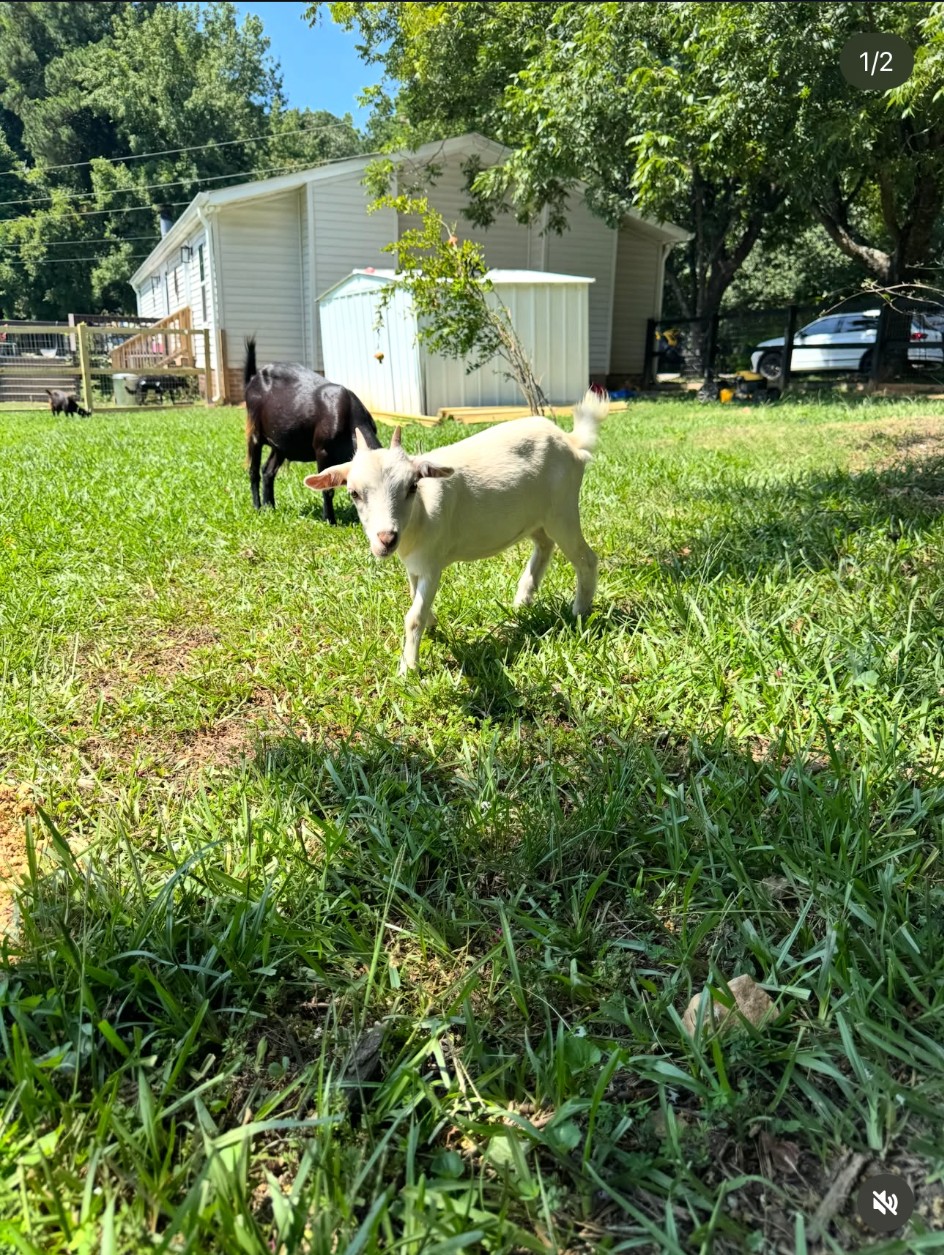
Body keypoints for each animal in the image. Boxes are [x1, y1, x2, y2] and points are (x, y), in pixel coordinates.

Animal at [243, 337, 382, 522]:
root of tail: (254, 378)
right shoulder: (322, 451)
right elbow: (327, 488)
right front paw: (330, 520)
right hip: (254, 433)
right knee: (254, 471)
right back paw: (258, 507)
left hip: (281, 445)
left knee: (268, 471)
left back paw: (270, 506)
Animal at [304, 390, 609, 673]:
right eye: (354, 493)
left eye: (412, 486)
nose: (386, 540)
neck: (420, 515)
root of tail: (571, 441)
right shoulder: (414, 565)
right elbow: (415, 600)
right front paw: (432, 624)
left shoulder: (431, 564)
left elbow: (413, 616)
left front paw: (408, 668)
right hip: (535, 518)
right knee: (545, 545)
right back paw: (522, 601)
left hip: (562, 510)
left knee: (585, 558)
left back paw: (579, 613)